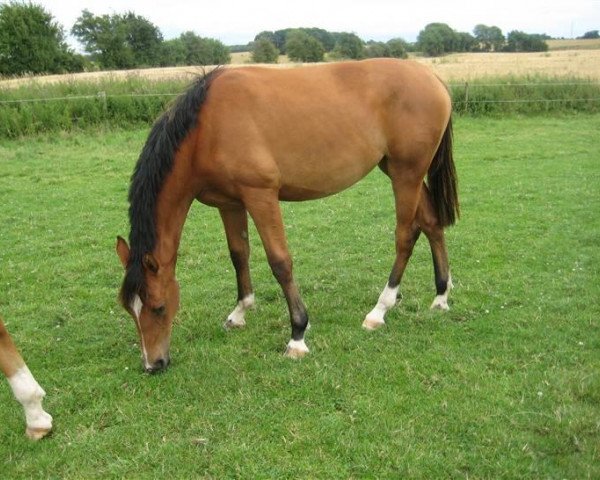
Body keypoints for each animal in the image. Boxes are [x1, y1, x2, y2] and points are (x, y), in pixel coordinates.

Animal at [115, 58, 458, 374]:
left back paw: (379, 310)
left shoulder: (261, 195)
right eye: (129, 309)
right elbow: (238, 254)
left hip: (406, 173)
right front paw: (240, 312)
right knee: (431, 223)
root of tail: (433, 79)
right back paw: (441, 295)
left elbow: (280, 262)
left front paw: (298, 335)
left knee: (406, 235)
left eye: (159, 308)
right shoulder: (230, 204)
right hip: (398, 169)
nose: (153, 364)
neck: (206, 127)